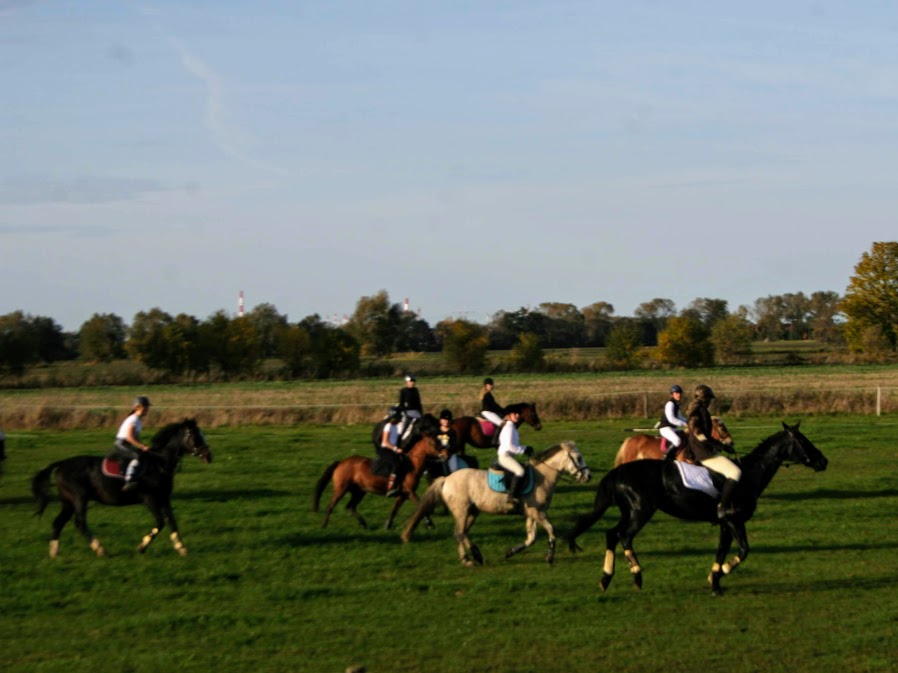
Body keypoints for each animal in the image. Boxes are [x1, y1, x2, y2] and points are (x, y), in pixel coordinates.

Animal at [30, 420, 214, 556]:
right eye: (195, 436)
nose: (209, 456)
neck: (158, 464)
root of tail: (61, 464)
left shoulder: (164, 498)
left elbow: (171, 522)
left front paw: (181, 548)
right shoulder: (150, 499)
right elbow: (160, 522)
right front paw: (142, 546)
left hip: (68, 502)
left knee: (58, 523)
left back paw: (54, 553)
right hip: (79, 498)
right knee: (79, 522)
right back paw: (100, 549)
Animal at [314, 414, 448, 532]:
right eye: (435, 443)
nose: (446, 454)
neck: (411, 464)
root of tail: (341, 462)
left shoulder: (403, 494)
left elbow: (394, 510)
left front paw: (387, 525)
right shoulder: (410, 492)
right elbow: (421, 507)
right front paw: (430, 524)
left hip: (359, 491)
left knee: (350, 506)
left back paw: (363, 524)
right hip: (341, 489)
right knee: (331, 505)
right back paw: (324, 525)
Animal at [402, 440, 592, 568]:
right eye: (578, 458)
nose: (588, 476)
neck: (542, 476)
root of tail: (447, 479)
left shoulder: (531, 514)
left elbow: (530, 538)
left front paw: (510, 552)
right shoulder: (537, 512)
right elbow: (551, 531)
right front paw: (550, 557)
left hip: (472, 512)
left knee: (463, 532)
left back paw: (475, 556)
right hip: (462, 511)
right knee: (459, 533)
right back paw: (469, 559)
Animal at [564, 422, 828, 596]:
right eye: (802, 441)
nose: (823, 461)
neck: (748, 475)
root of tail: (619, 470)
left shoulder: (725, 526)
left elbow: (721, 551)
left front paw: (715, 581)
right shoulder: (733, 521)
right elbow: (743, 550)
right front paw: (723, 571)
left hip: (630, 512)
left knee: (611, 534)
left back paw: (606, 578)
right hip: (640, 512)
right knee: (624, 536)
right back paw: (637, 575)